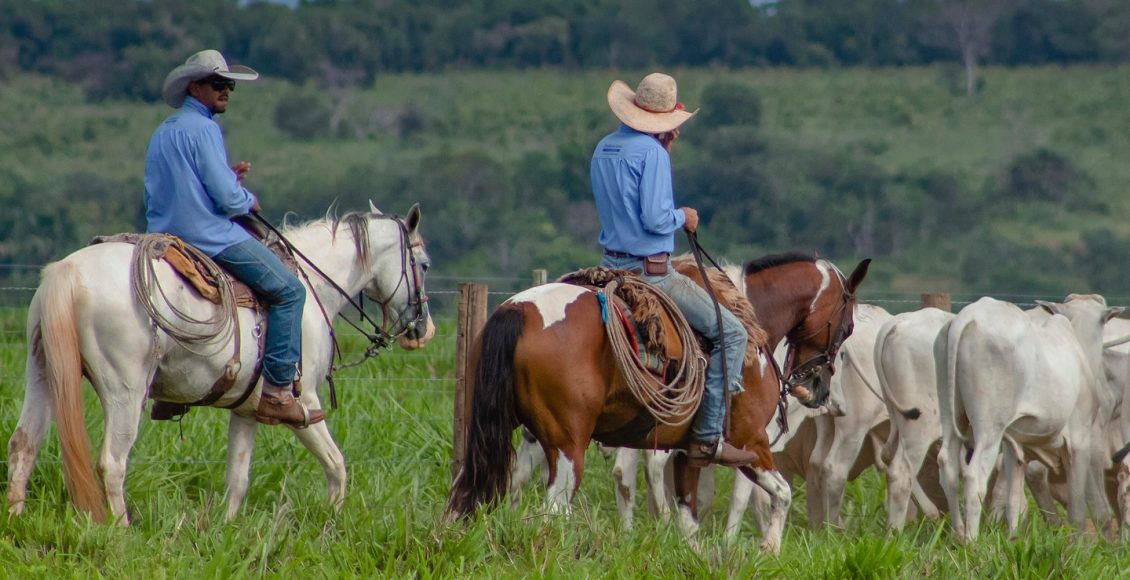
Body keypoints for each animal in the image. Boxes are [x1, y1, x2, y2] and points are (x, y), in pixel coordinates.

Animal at [6, 203, 433, 524]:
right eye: (424, 264)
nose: (423, 330)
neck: (313, 288)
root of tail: (69, 272)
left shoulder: (247, 409)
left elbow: (238, 478)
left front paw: (225, 530)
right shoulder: (306, 401)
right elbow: (336, 464)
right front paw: (332, 521)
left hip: (44, 374)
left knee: (23, 444)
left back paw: (15, 518)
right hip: (124, 391)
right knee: (112, 461)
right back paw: (122, 530)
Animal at [445, 250, 867, 549]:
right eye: (847, 328)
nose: (816, 388)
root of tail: (517, 310)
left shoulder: (690, 451)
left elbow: (689, 517)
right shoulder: (750, 441)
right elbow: (782, 494)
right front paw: (769, 549)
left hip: (499, 435)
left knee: (475, 492)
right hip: (568, 447)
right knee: (553, 511)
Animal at [872, 307, 953, 529]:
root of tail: (896, 323)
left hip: (897, 417)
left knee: (889, 458)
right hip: (922, 425)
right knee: (901, 475)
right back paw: (895, 532)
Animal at [935, 296, 1111, 540]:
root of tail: (966, 317)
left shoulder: (1014, 448)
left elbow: (1014, 502)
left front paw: (1013, 538)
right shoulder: (1079, 441)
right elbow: (1076, 510)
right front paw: (1077, 545)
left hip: (951, 416)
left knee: (947, 466)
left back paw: (958, 533)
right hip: (990, 427)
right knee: (974, 476)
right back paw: (971, 540)